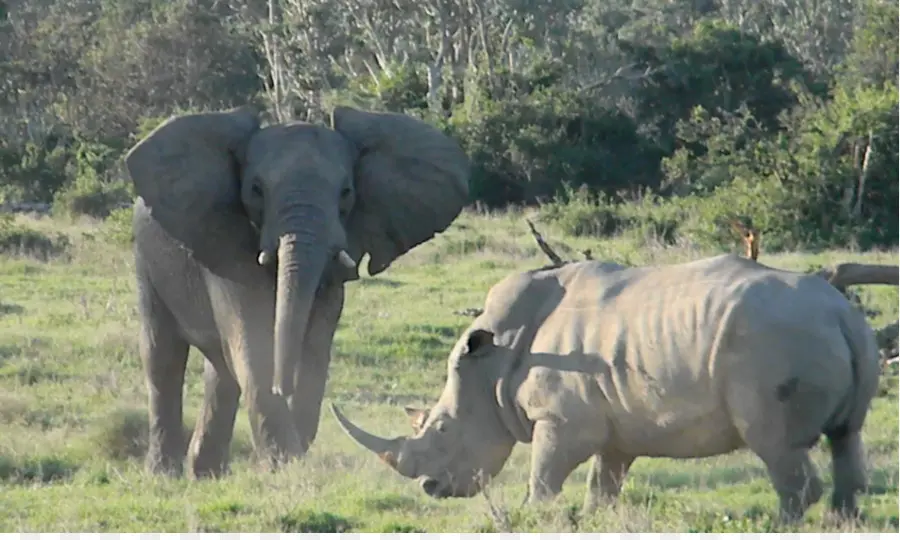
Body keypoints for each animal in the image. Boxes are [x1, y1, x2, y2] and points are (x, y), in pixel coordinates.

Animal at [123, 104, 472, 476]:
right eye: (256, 189)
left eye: (346, 192)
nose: (283, 385)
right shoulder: (226, 244)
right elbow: (253, 345)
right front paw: (283, 466)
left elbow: (314, 346)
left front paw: (290, 459)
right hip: (145, 259)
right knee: (162, 356)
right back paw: (164, 474)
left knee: (220, 371)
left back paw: (205, 474)